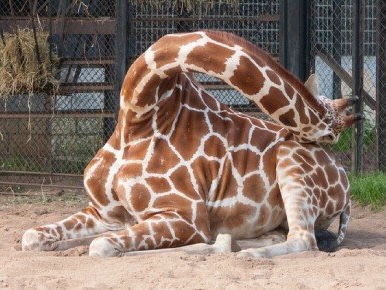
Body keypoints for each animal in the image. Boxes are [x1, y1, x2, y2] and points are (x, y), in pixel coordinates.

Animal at [21, 30, 358, 258]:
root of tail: (345, 188)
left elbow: (101, 245)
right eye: (333, 130)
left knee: (304, 240)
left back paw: (245, 253)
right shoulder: (103, 212)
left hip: (291, 162)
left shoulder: (186, 216)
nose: (324, 141)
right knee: (271, 236)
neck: (138, 115)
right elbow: (31, 236)